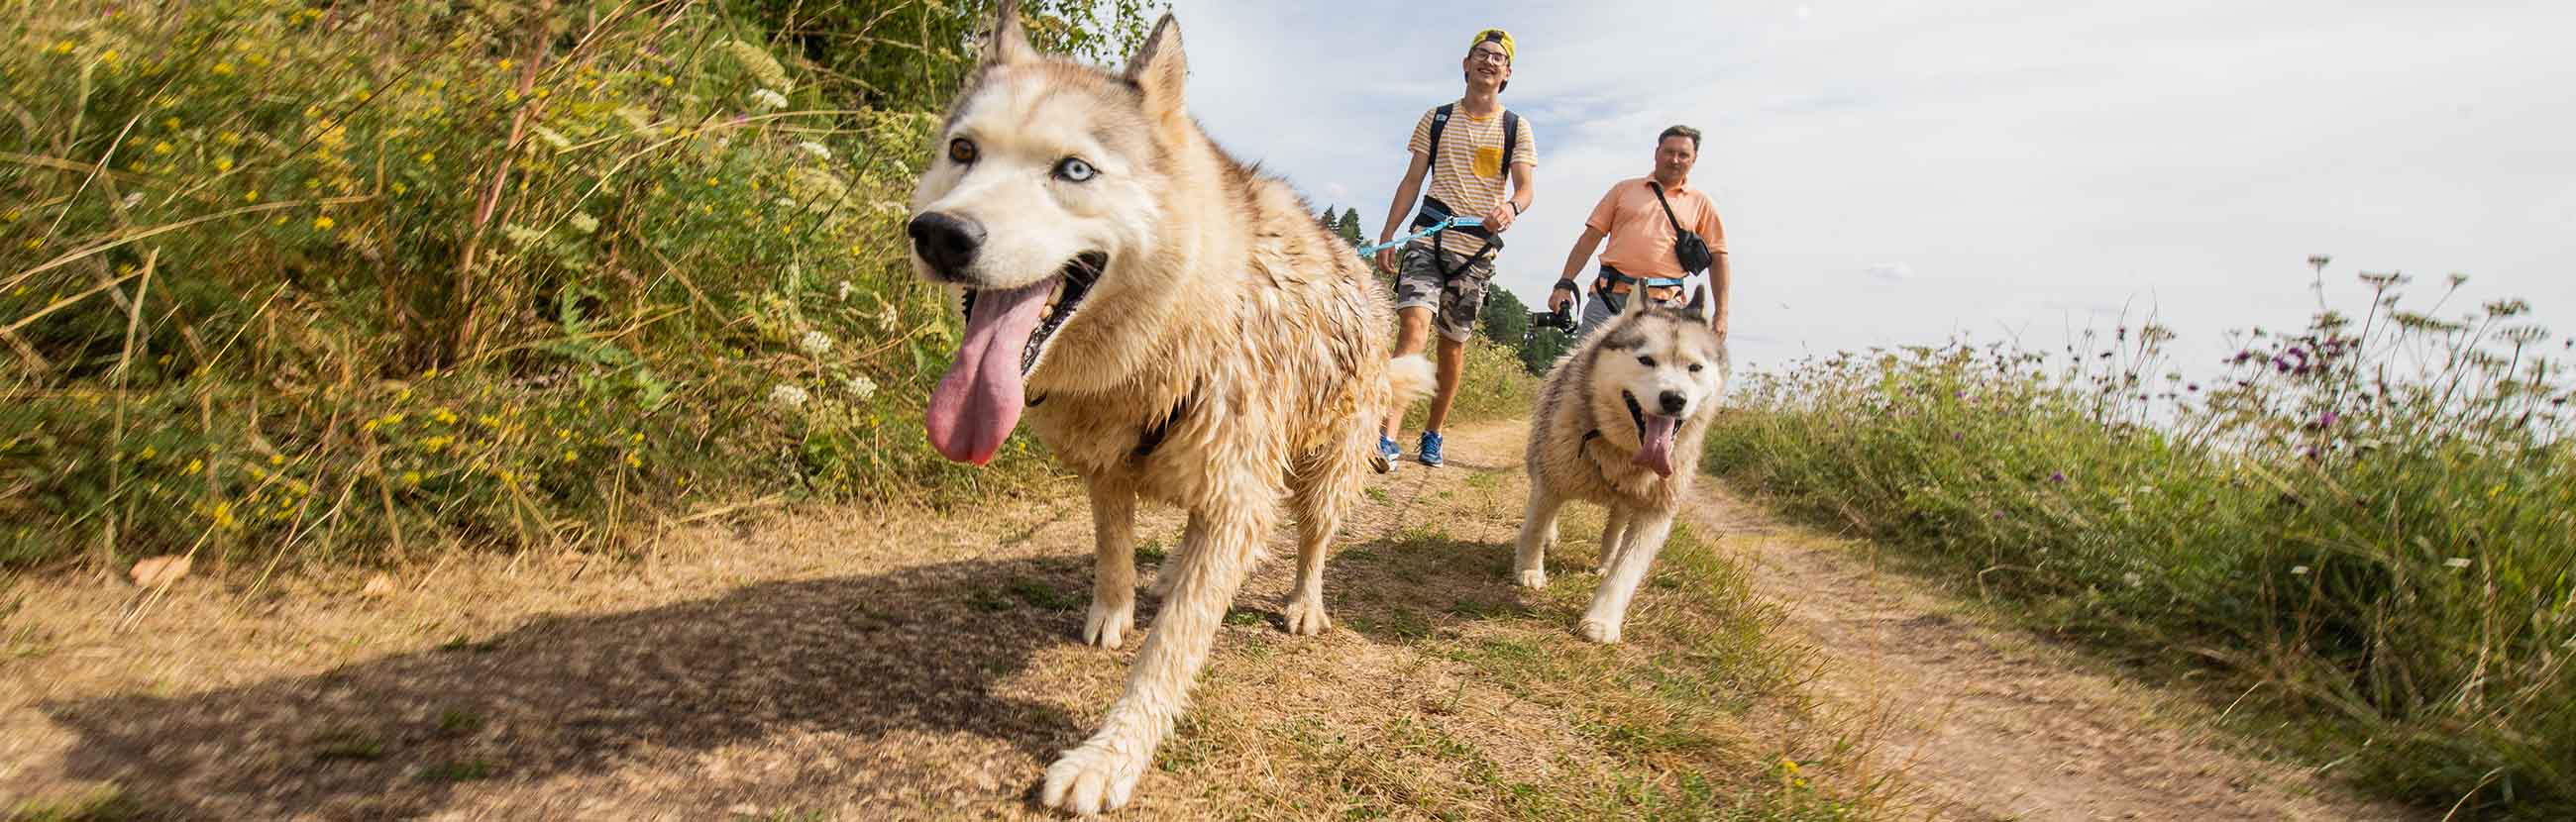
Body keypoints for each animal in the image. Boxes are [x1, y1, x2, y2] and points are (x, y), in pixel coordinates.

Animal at [1504, 288, 1731, 644]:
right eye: (1646, 360)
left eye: (1695, 367)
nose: (1674, 399)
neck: (1623, 452)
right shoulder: (1552, 474)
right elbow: (1536, 525)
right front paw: (1528, 570)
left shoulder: (1656, 511)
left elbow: (1629, 568)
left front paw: (1602, 619)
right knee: (1547, 510)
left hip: (1628, 500)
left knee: (1616, 524)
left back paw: (1607, 558)